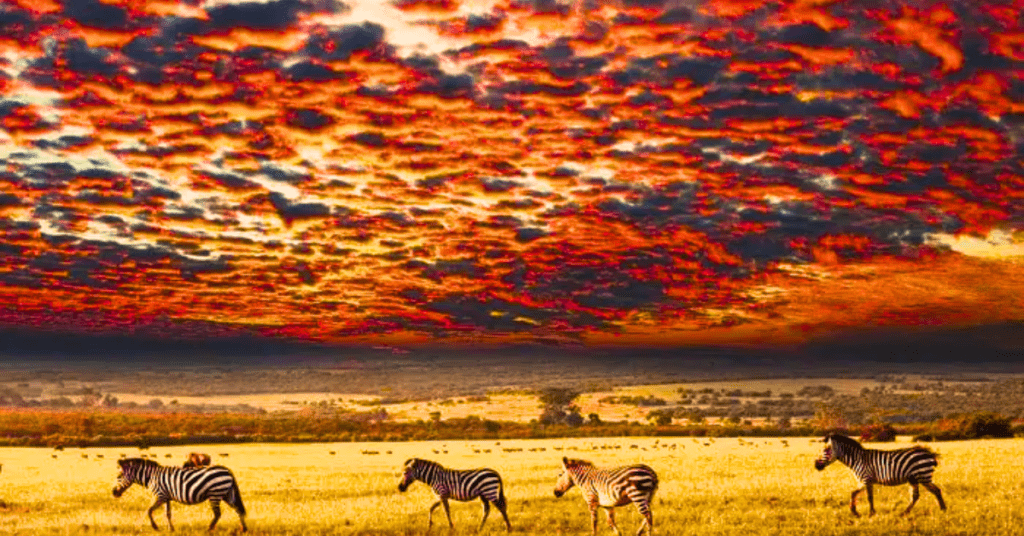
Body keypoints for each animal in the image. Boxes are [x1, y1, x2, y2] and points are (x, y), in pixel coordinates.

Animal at [112, 457, 247, 532]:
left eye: (118, 476)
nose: (113, 493)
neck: (151, 477)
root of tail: (227, 470)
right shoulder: (166, 497)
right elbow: (168, 514)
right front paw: (171, 529)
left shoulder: (160, 495)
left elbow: (149, 511)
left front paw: (155, 527)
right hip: (226, 494)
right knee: (237, 509)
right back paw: (243, 529)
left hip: (215, 494)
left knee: (218, 514)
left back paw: (209, 529)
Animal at [811, 434, 946, 518]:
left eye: (825, 451)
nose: (816, 466)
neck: (857, 459)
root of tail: (929, 453)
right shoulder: (863, 481)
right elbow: (854, 493)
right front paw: (855, 512)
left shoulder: (866, 479)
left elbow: (869, 497)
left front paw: (871, 513)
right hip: (915, 479)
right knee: (921, 494)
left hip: (923, 477)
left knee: (934, 491)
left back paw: (941, 509)